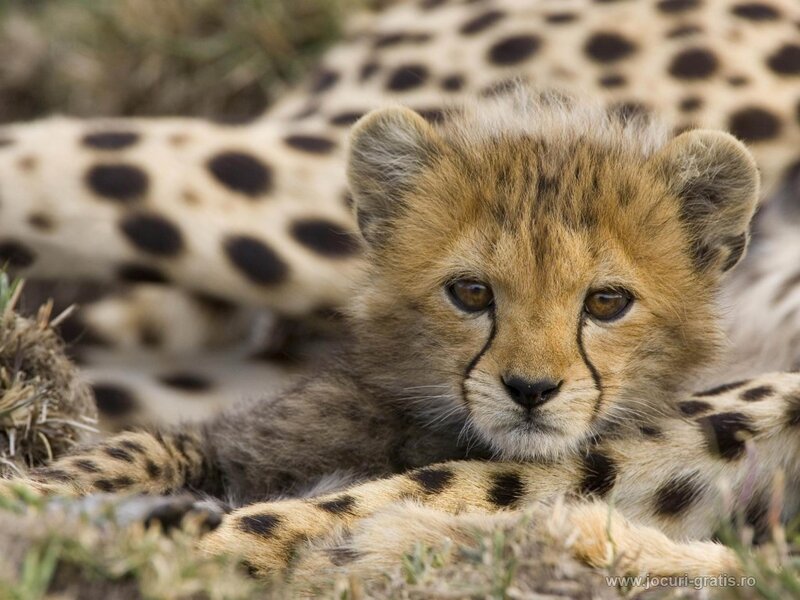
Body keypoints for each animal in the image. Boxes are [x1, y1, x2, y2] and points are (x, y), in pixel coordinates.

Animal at [7, 90, 800, 584]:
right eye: (471, 293)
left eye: (607, 302)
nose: (531, 390)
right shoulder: (234, 441)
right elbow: (135, 450)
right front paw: (43, 502)